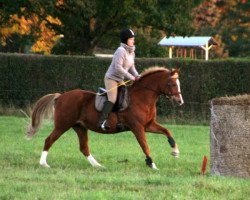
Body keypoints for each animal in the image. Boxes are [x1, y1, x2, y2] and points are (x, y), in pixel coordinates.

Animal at [26, 66, 184, 170]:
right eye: (171, 83)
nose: (180, 101)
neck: (142, 97)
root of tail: (60, 96)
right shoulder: (137, 127)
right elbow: (144, 145)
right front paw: (152, 164)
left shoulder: (148, 125)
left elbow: (167, 131)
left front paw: (175, 151)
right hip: (63, 125)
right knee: (49, 140)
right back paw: (44, 164)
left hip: (80, 127)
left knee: (84, 147)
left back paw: (98, 165)